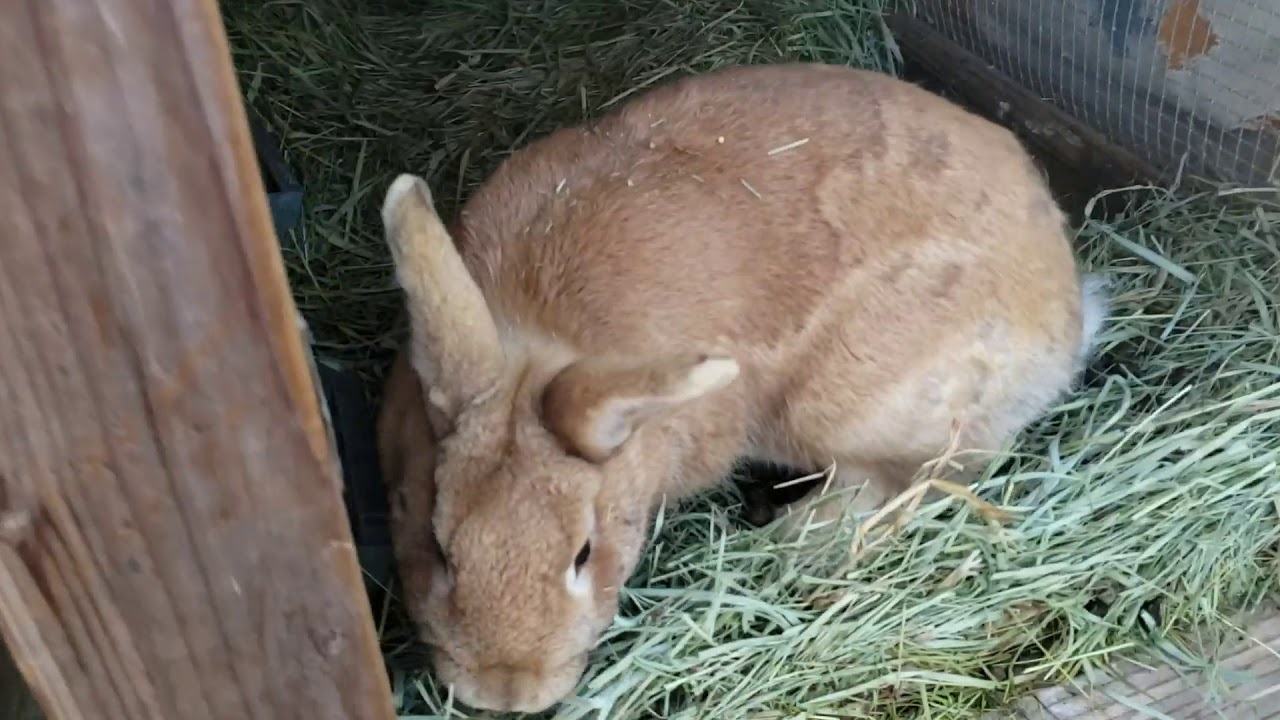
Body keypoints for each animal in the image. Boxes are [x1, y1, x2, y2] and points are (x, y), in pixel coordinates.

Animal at [375, 61, 1108, 714]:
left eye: (584, 552)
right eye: (437, 545)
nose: (506, 695)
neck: (536, 341)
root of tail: (1066, 310)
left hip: (836, 408)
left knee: (914, 485)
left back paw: (780, 542)